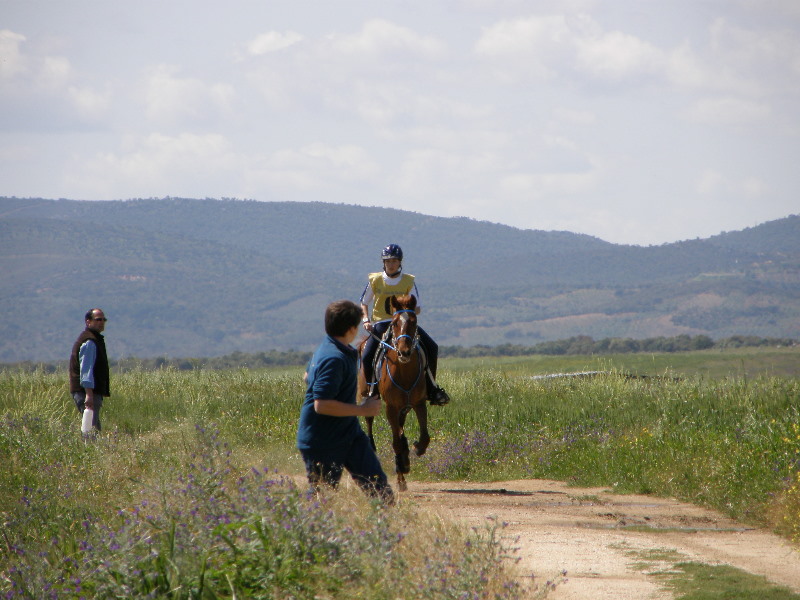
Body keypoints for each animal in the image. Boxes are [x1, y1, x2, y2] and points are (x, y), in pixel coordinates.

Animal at [360, 292, 428, 490]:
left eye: (413, 321)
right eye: (395, 322)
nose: (404, 352)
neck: (404, 371)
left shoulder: (419, 403)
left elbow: (424, 436)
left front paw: (415, 449)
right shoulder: (390, 407)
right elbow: (396, 443)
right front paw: (402, 469)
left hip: (404, 407)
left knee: (400, 427)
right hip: (369, 396)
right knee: (370, 420)